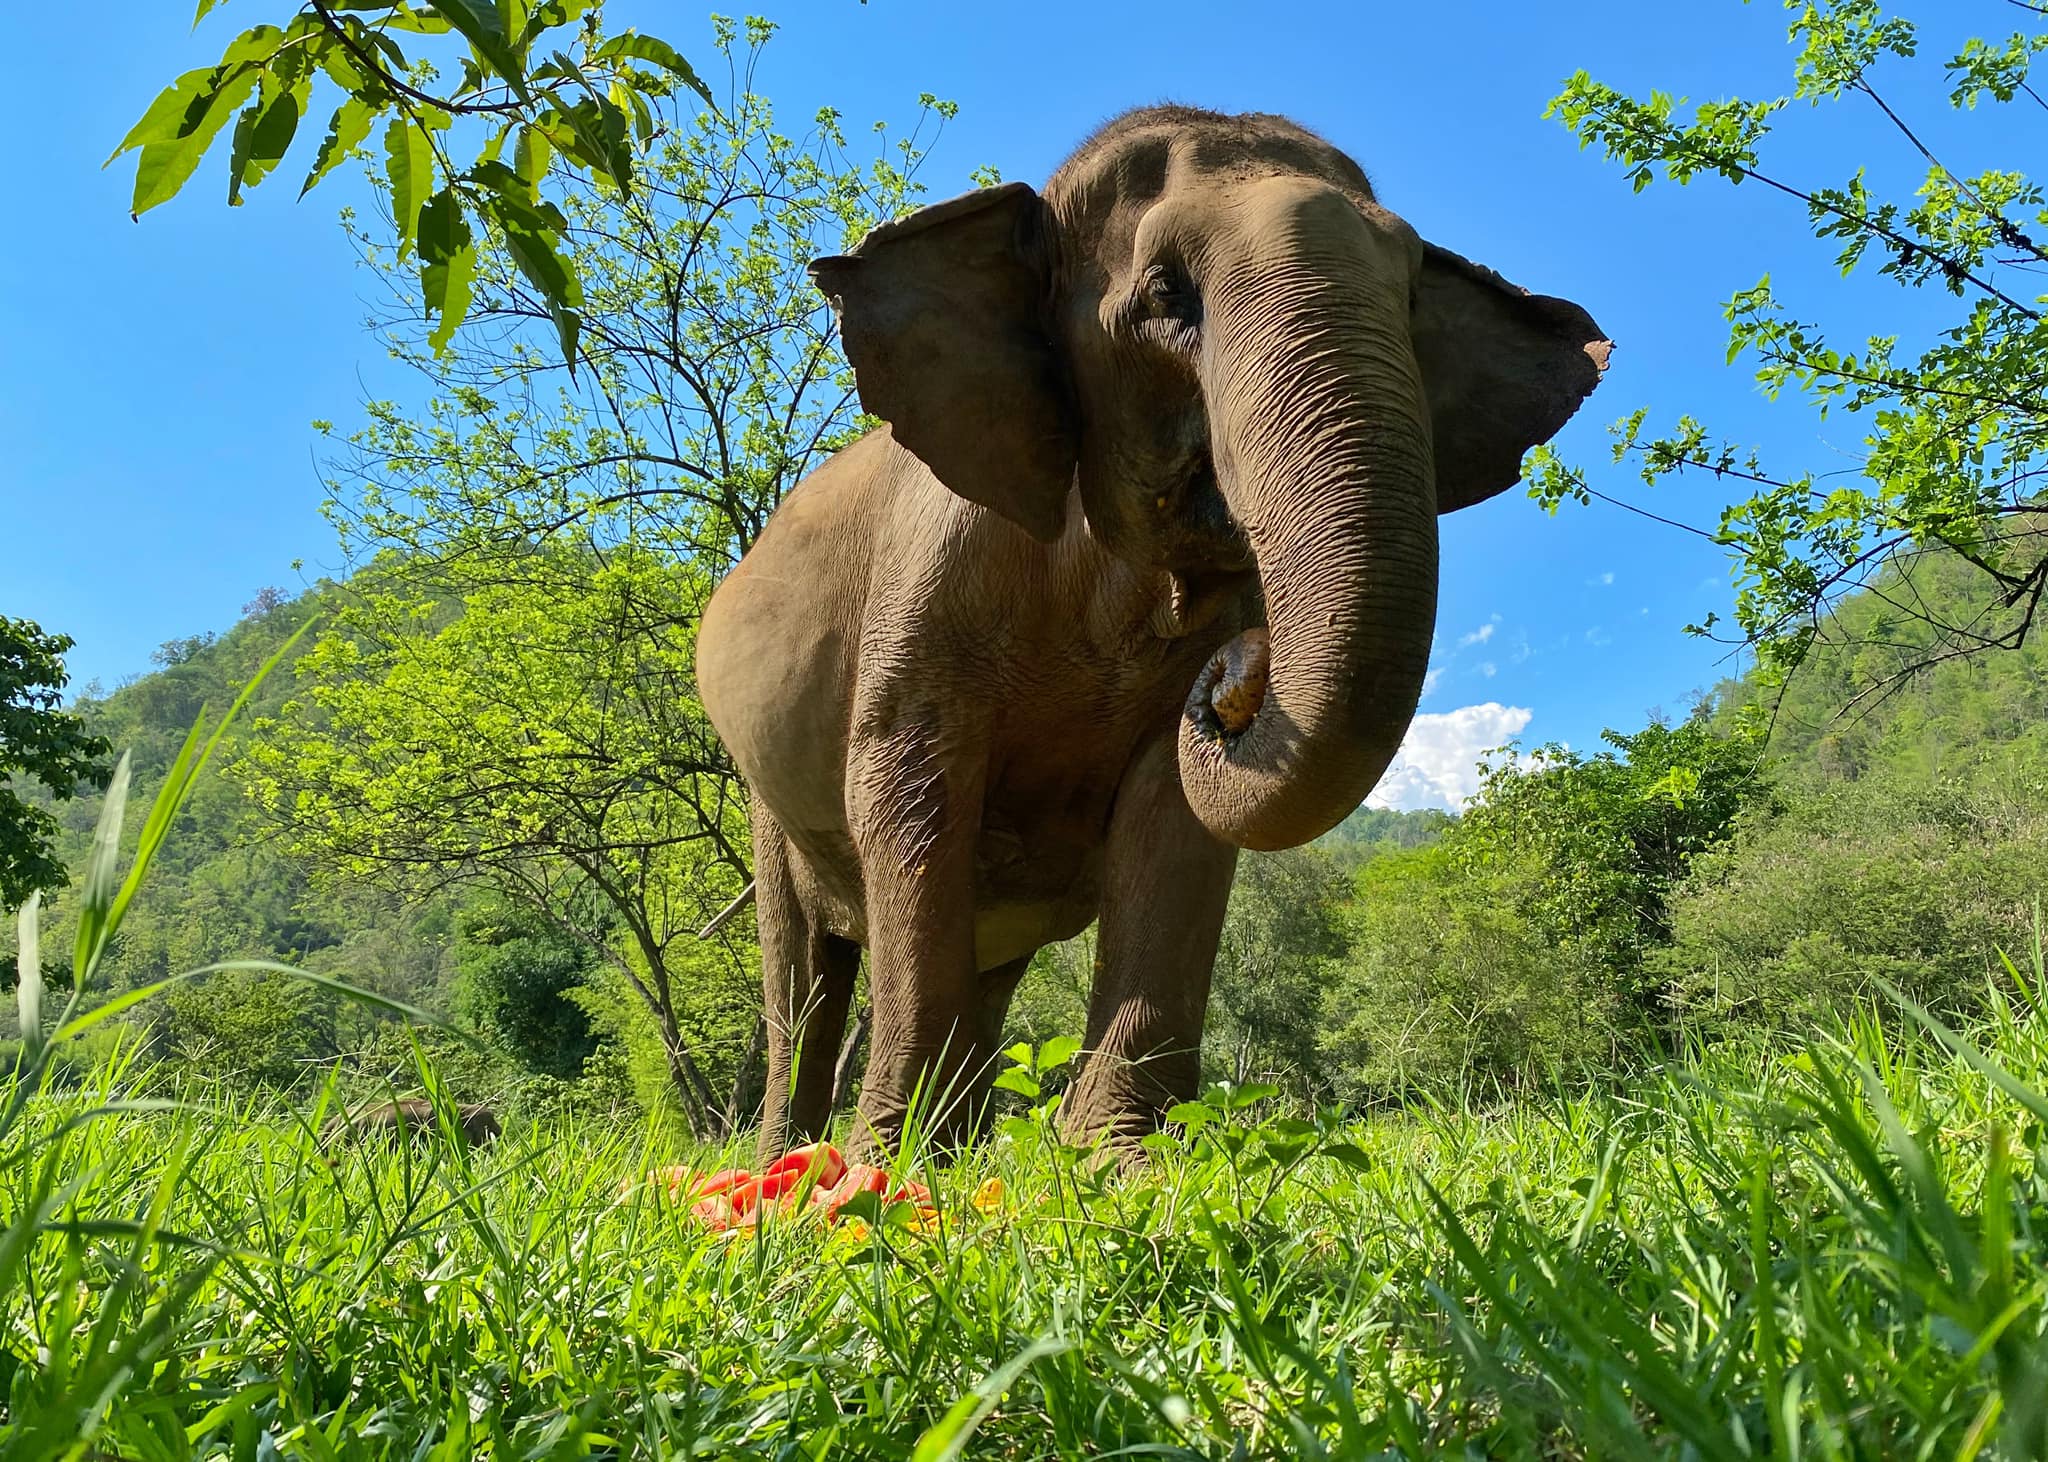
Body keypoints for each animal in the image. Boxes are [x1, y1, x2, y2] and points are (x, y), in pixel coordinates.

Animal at [696, 102, 1605, 1154]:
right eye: (1169, 291)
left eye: (1414, 293)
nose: (1238, 674)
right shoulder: (923, 598)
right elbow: (909, 796)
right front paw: (875, 1171)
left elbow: (1174, 813)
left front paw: (1118, 1157)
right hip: (765, 804)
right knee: (802, 973)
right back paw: (796, 1163)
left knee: (985, 968)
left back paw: (954, 1151)